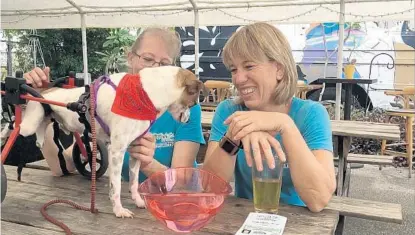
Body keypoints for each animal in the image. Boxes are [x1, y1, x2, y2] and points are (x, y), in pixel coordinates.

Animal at [0, 65, 206, 218]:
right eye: (193, 103)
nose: (188, 120)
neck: (144, 94)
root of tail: (45, 90)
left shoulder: (135, 148)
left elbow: (133, 181)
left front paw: (137, 200)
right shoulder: (117, 150)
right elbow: (116, 184)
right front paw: (118, 209)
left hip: (47, 116)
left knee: (44, 125)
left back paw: (41, 139)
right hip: (28, 123)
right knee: (14, 124)